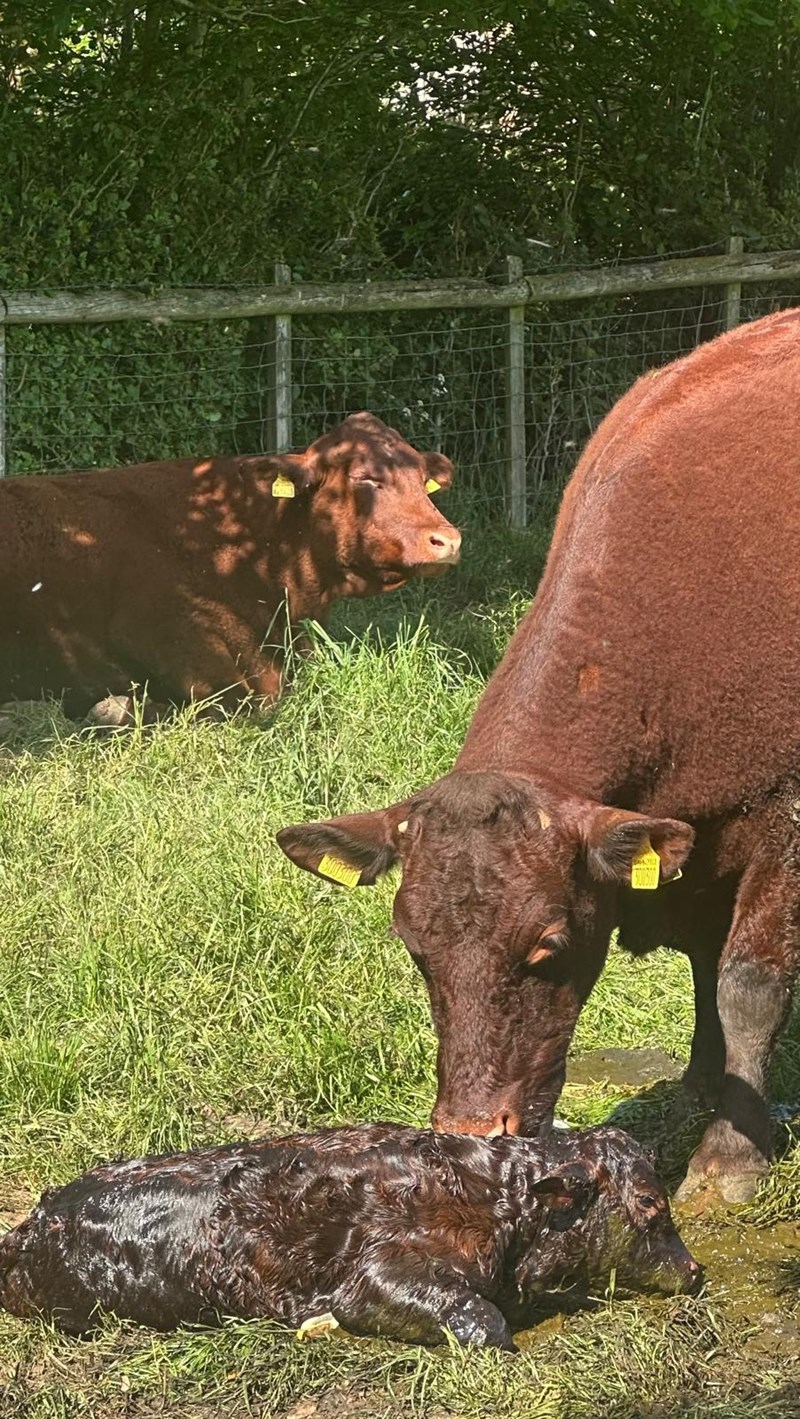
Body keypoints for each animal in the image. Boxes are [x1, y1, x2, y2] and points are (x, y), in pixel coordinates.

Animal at [278, 308, 800, 1204]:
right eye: (416, 950)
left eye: (547, 946)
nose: (473, 1127)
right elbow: (705, 968)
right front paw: (701, 1085)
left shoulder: (783, 814)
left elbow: (748, 983)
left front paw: (732, 1153)